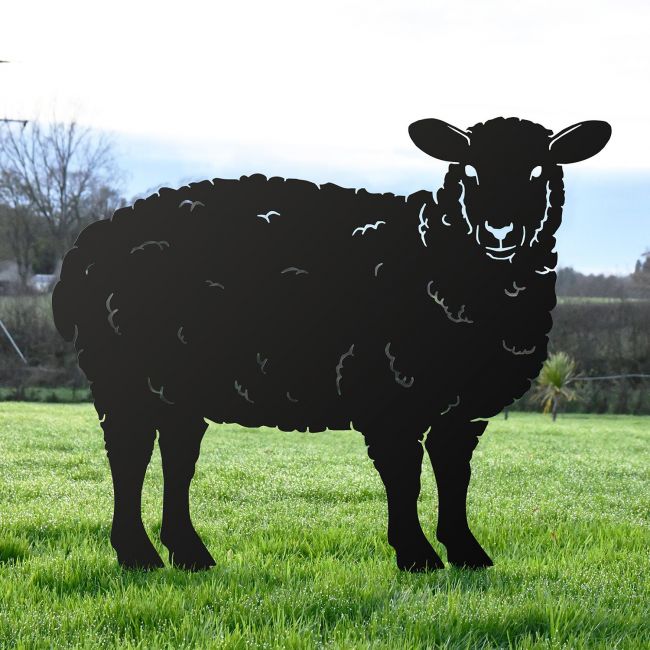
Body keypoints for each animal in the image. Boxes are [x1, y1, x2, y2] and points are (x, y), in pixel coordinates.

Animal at [52, 116, 611, 572]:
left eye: (540, 170)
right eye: (469, 170)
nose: (499, 232)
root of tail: (88, 244)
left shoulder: (461, 408)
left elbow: (455, 475)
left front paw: (467, 554)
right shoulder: (392, 393)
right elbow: (404, 477)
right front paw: (417, 557)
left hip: (174, 385)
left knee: (177, 456)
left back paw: (188, 554)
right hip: (123, 378)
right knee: (129, 456)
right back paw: (137, 555)